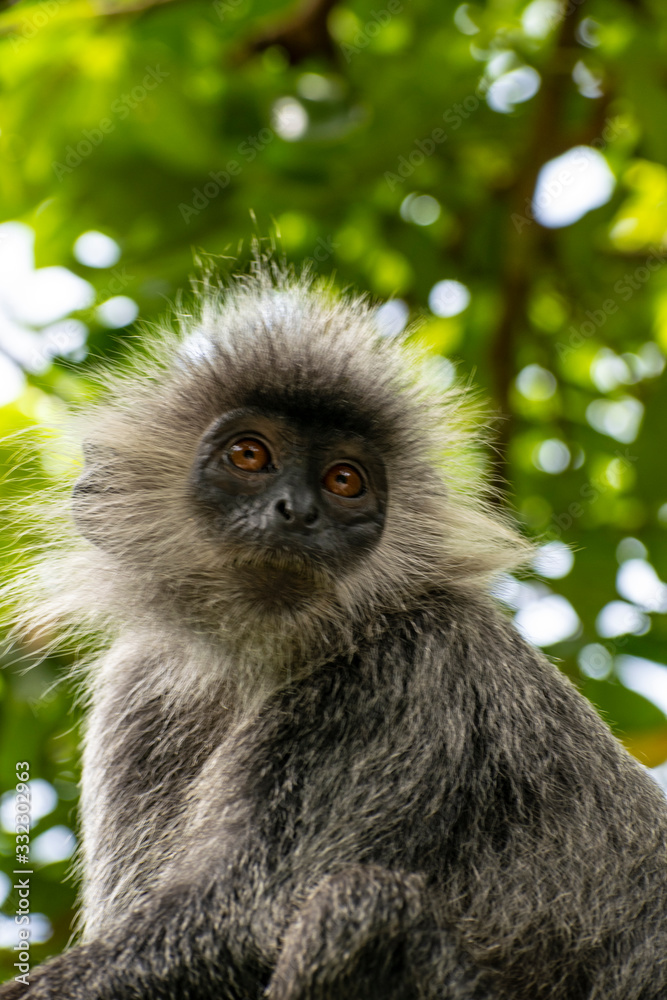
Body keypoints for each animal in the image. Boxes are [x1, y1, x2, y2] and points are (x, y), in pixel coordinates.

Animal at [1, 265, 667, 1000]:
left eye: (343, 480)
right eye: (249, 455)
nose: (297, 510)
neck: (264, 655)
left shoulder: (408, 667)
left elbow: (243, 918)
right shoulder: (139, 690)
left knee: (359, 903)